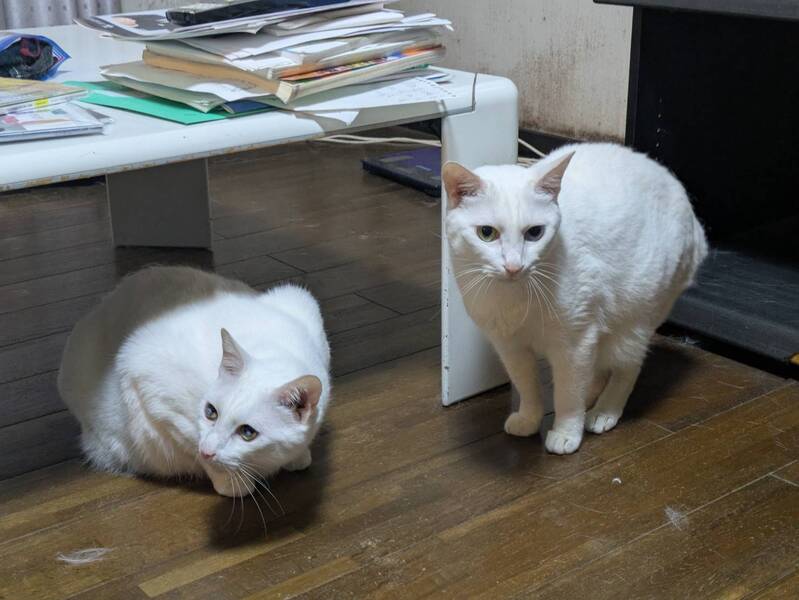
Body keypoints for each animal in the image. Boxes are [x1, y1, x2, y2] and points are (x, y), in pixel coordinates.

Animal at [58, 266, 331, 497]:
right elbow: (193, 441)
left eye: (248, 433)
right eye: (211, 412)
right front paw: (232, 484)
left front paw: (298, 456)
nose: (208, 451)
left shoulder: (302, 302)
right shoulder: (145, 374)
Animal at [443, 143, 707, 455]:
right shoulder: (510, 347)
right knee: (598, 370)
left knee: (626, 370)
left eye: (535, 233)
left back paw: (603, 412)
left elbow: (568, 396)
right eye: (486, 233)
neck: (515, 299)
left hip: (633, 322)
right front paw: (529, 419)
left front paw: (566, 432)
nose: (514, 267)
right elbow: (527, 387)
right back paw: (592, 396)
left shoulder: (575, 344)